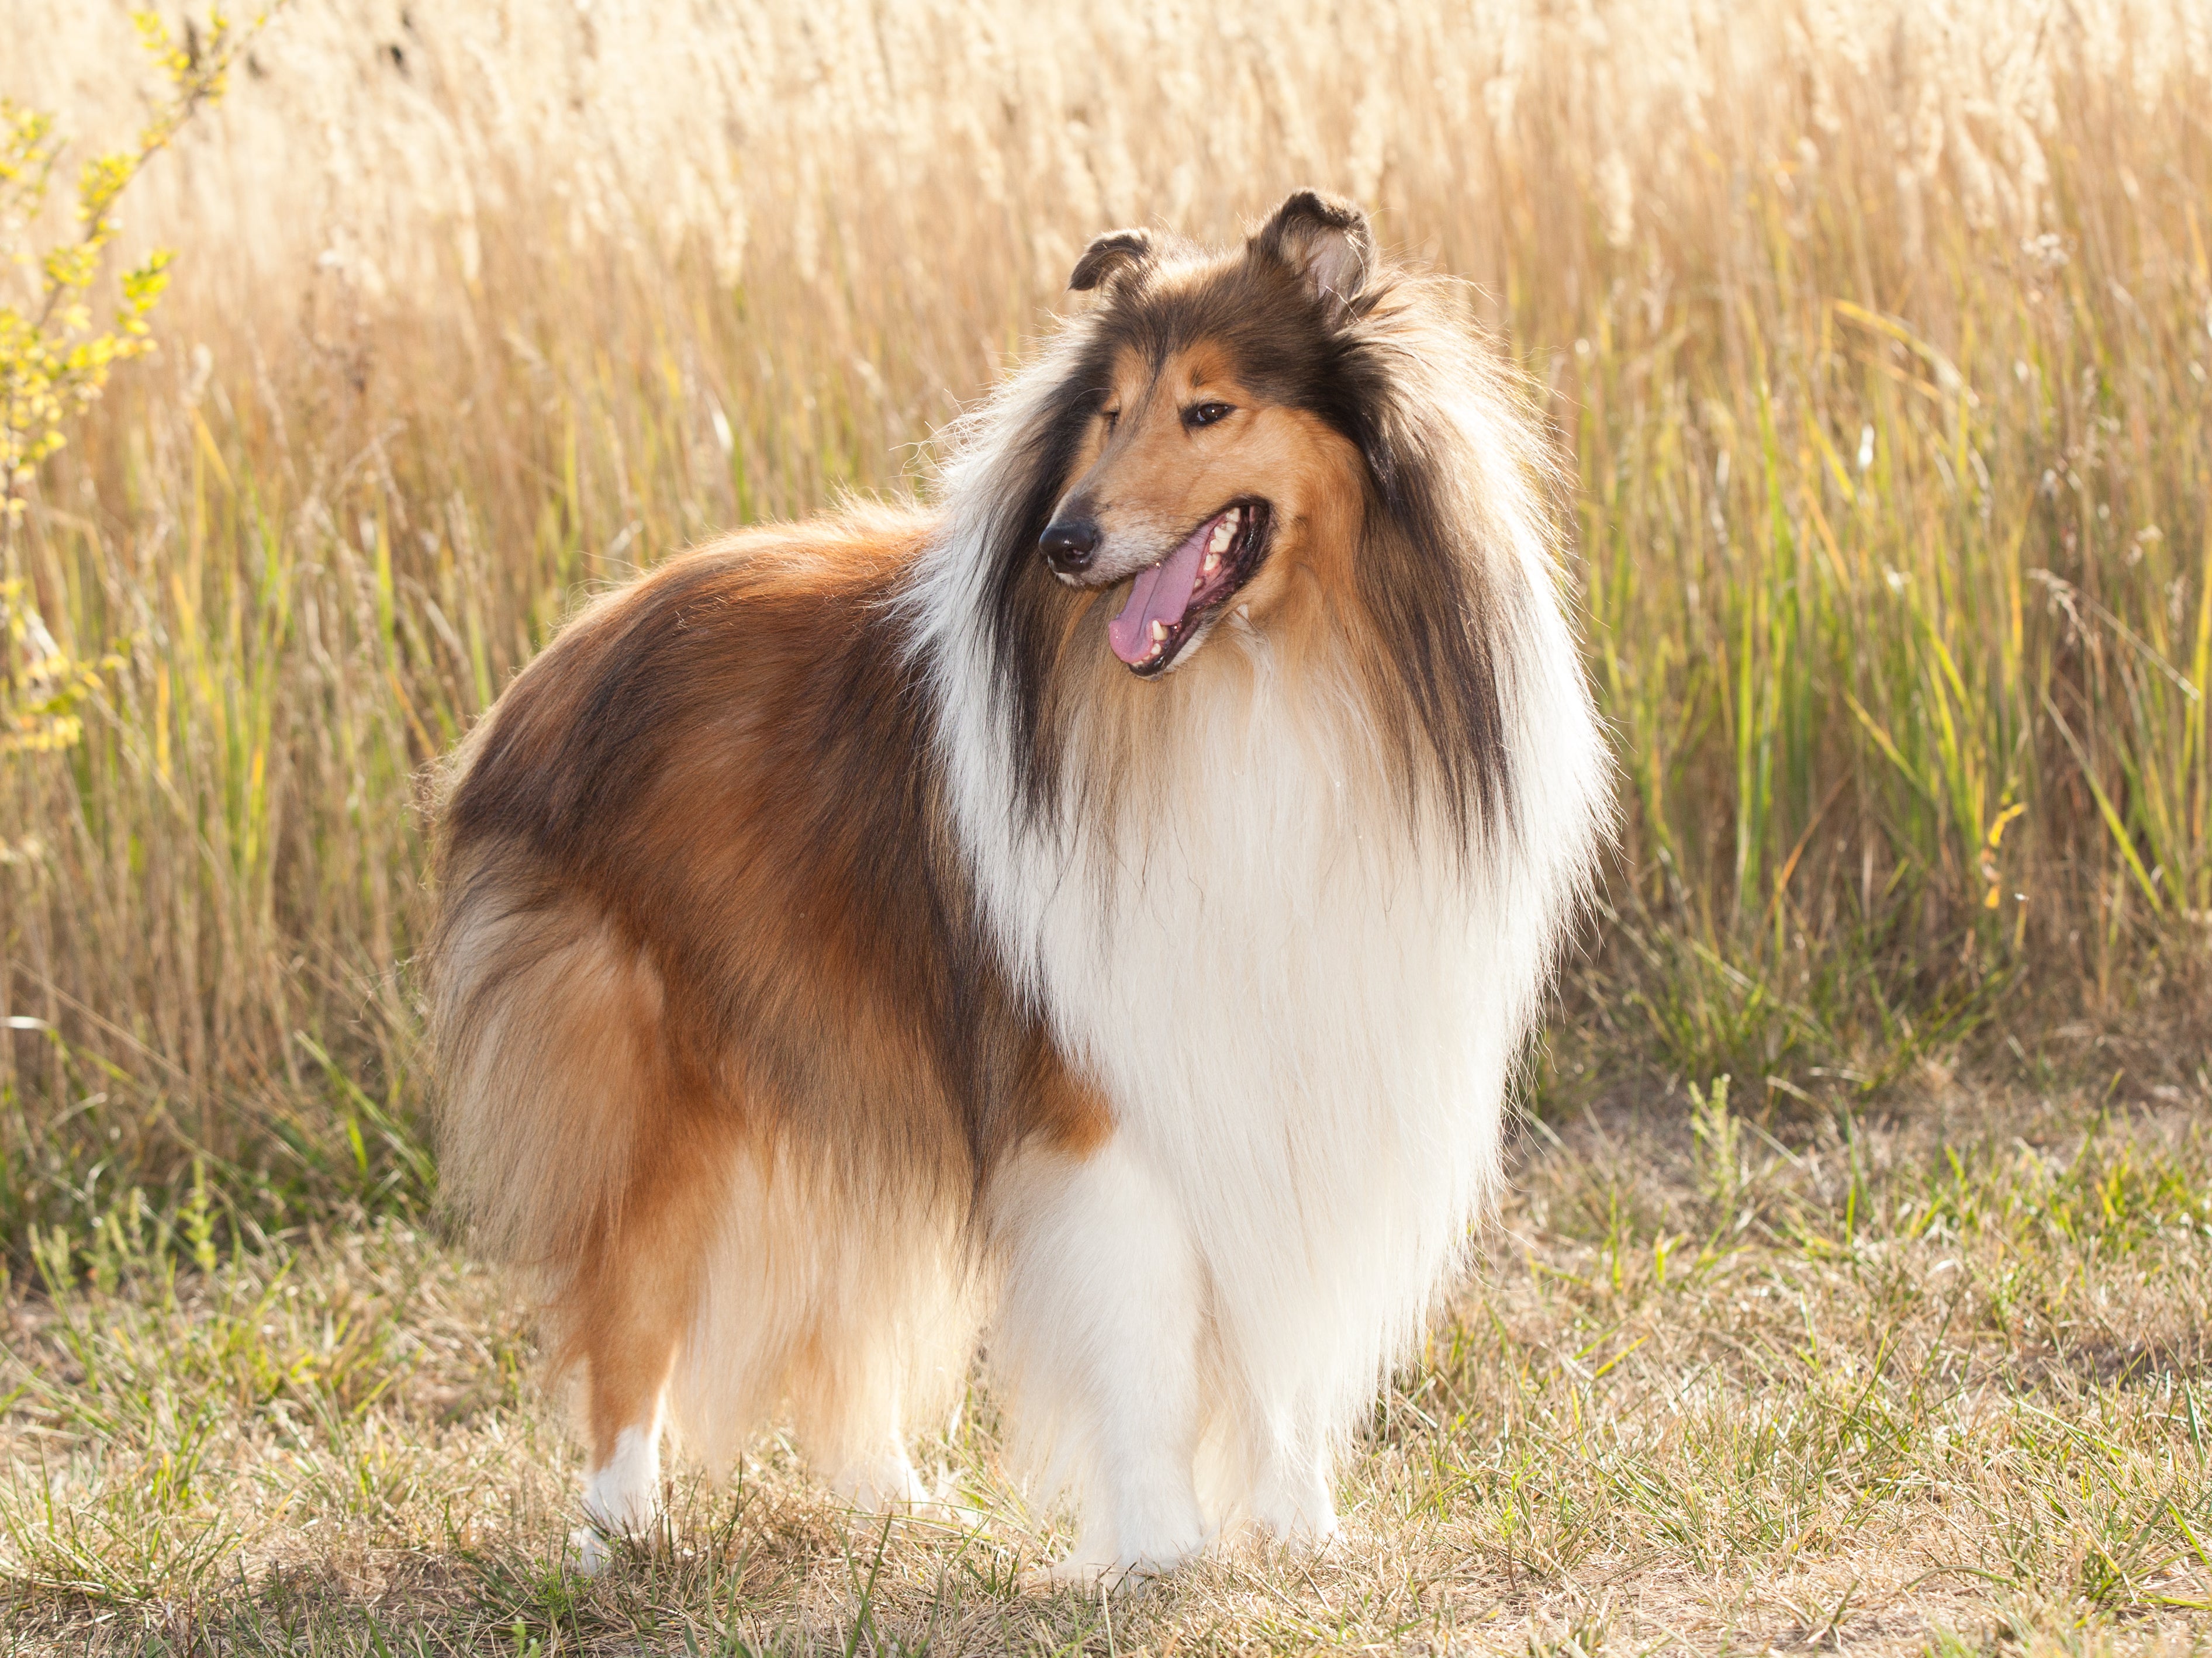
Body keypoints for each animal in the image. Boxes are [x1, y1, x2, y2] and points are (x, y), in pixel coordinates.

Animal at [431, 191, 1610, 1583]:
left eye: (1206, 409)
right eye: (1105, 412)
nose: (1063, 543)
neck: (1264, 681)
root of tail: (551, 667)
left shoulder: (1293, 1062)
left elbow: (1274, 1325)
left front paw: (1296, 1526)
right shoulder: (1107, 1087)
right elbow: (1145, 1336)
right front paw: (1156, 1549)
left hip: (838, 1046)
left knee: (838, 1299)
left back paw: (893, 1498)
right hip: (668, 1085)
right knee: (631, 1304)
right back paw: (622, 1526)